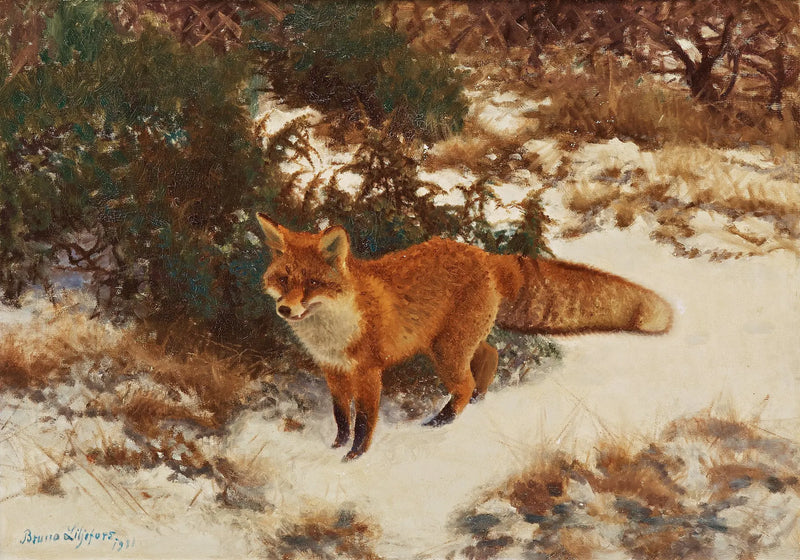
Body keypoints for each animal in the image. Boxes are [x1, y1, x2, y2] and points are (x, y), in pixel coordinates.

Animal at [256, 213, 672, 461]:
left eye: (312, 283)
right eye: (283, 279)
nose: (285, 310)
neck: (333, 328)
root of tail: (483, 255)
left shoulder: (368, 371)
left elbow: (363, 422)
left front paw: (353, 457)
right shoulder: (332, 369)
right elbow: (341, 416)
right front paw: (335, 445)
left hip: (446, 352)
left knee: (466, 382)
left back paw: (442, 421)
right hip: (451, 344)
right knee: (489, 357)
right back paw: (478, 402)